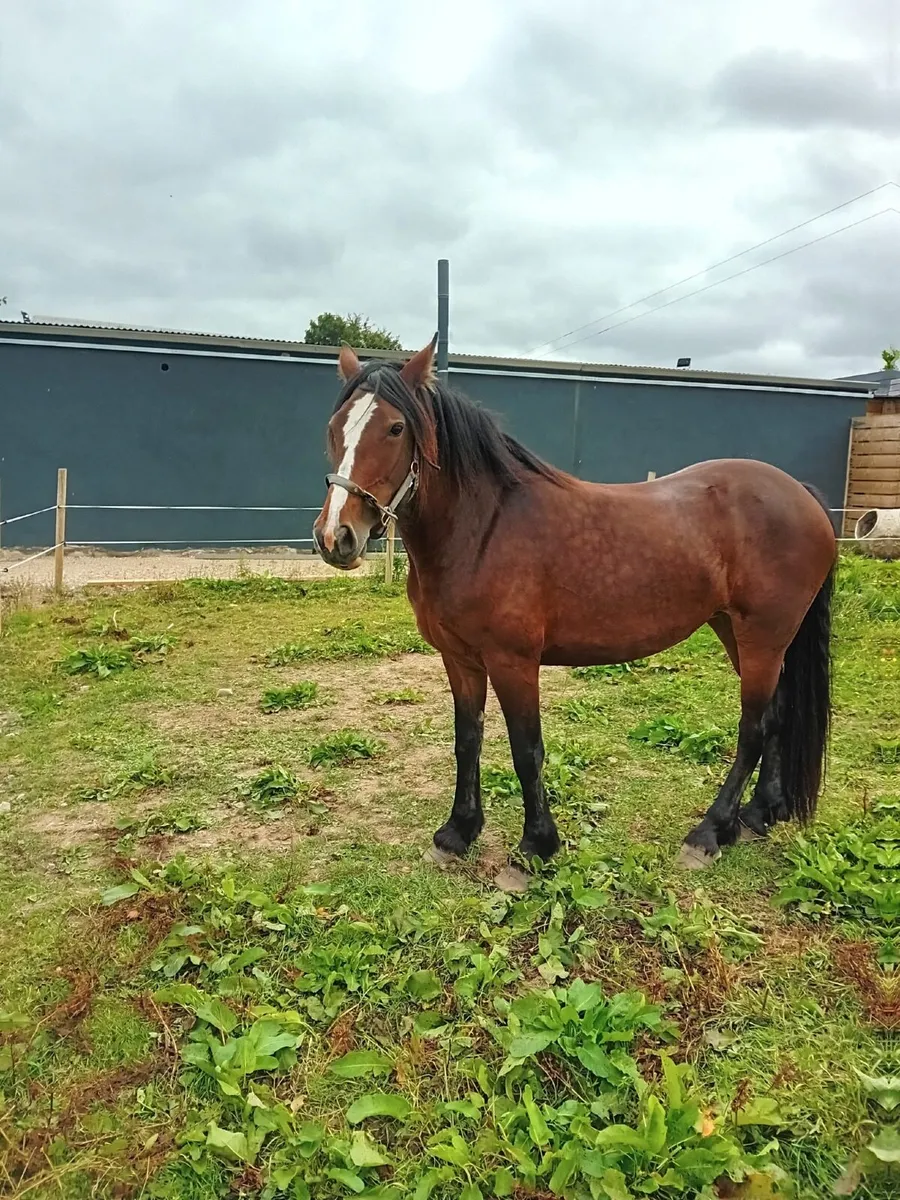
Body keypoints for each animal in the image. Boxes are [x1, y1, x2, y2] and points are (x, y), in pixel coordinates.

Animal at [313, 336, 836, 889]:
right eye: (335, 426)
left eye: (395, 428)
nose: (335, 536)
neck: (483, 526)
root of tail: (801, 495)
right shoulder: (460, 659)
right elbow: (467, 740)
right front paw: (457, 834)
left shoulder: (514, 662)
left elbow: (527, 752)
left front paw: (533, 850)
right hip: (740, 633)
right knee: (779, 714)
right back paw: (759, 814)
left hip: (762, 637)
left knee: (753, 727)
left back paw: (710, 832)